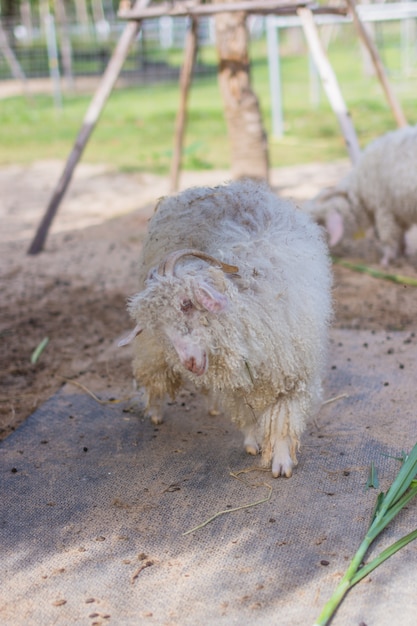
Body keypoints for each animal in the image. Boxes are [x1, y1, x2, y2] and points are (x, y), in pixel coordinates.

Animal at [119, 178, 332, 476]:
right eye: (158, 326)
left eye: (187, 303)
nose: (189, 362)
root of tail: (202, 188)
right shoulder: (238, 383)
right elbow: (246, 412)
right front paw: (253, 440)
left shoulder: (295, 371)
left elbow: (283, 418)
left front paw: (280, 462)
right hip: (155, 353)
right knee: (153, 372)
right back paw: (156, 411)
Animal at [302, 124, 416, 266]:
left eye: (319, 222)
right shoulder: (398, 213)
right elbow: (400, 236)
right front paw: (402, 253)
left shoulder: (383, 209)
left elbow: (387, 237)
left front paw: (385, 261)